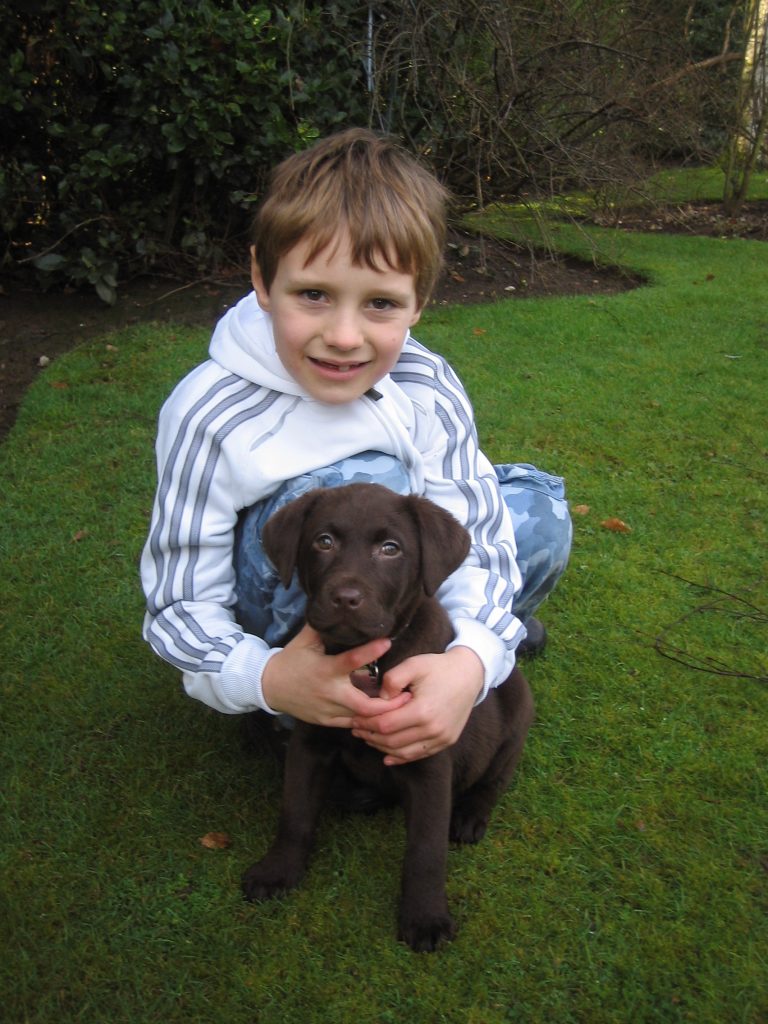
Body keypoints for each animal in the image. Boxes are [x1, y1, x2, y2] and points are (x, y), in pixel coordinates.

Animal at [243, 481, 536, 950]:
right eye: (323, 541)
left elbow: (425, 849)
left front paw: (426, 918)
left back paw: (470, 815)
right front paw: (278, 870)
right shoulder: (310, 742)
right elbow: (295, 814)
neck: (367, 664)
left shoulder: (428, 758)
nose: (345, 599)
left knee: (493, 780)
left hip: (516, 714)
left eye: (390, 549)